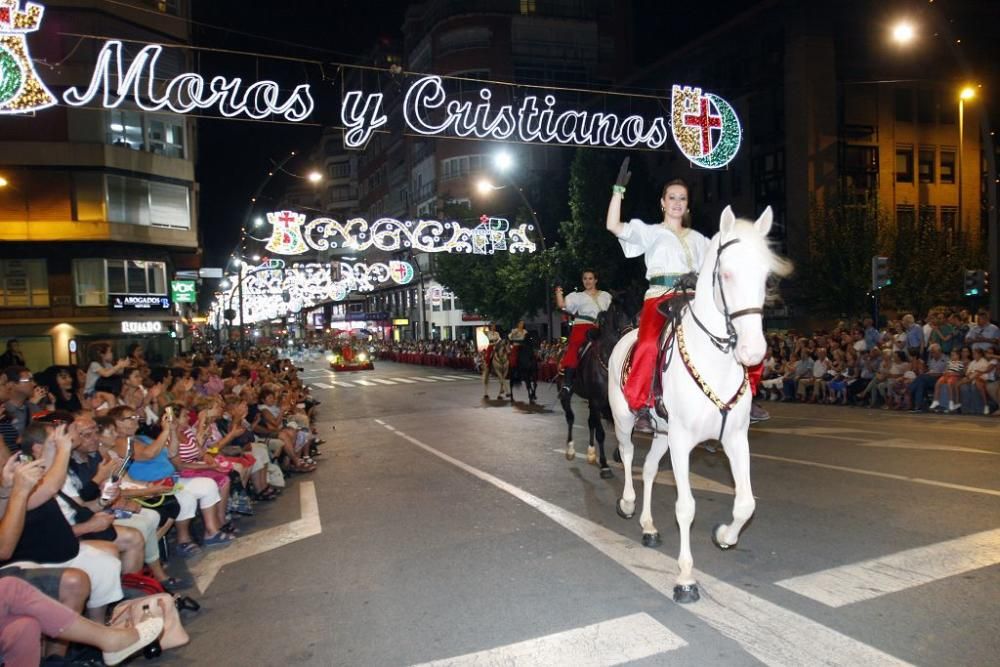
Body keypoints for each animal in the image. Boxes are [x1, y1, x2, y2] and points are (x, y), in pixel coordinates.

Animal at [604, 206, 792, 604]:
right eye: (726, 273)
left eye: (765, 276)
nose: (753, 352)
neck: (715, 361)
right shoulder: (682, 442)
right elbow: (686, 506)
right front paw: (686, 580)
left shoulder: (734, 439)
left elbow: (745, 503)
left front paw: (724, 535)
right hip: (626, 419)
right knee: (627, 456)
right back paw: (627, 504)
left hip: (662, 434)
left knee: (648, 468)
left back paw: (648, 527)